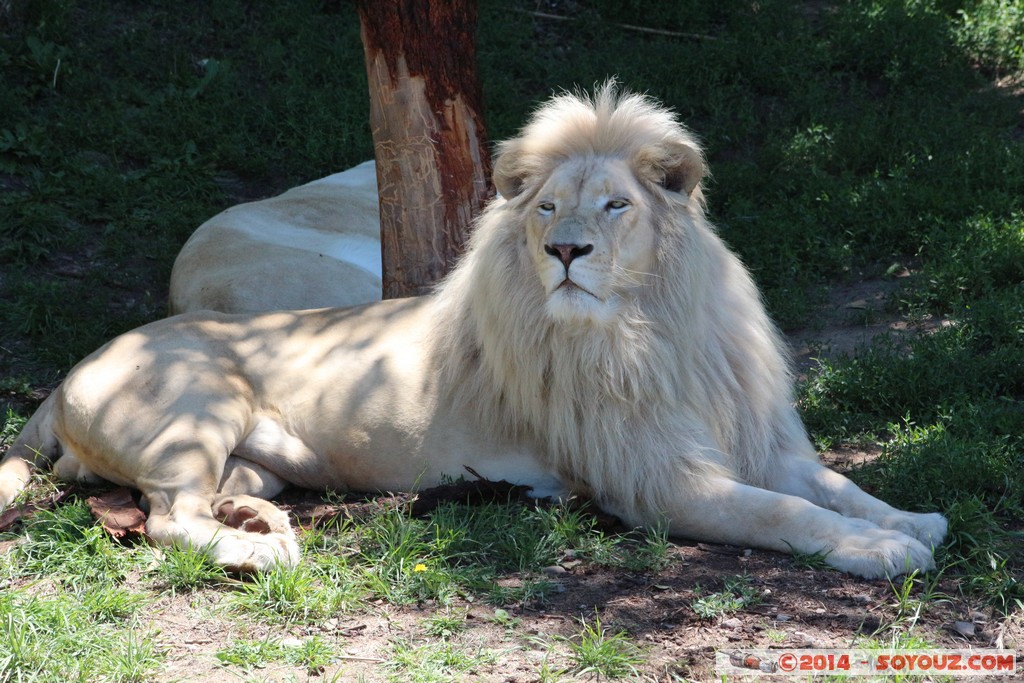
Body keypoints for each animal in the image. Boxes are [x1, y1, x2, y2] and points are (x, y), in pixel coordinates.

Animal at [0, 84, 946, 578]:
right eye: (549, 208)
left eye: (616, 206)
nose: (565, 250)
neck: (656, 327)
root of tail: (64, 375)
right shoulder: (658, 483)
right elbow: (785, 512)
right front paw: (882, 549)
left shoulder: (757, 438)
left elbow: (833, 482)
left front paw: (914, 517)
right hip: (198, 404)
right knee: (165, 520)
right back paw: (263, 551)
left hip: (252, 453)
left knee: (198, 501)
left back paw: (255, 520)